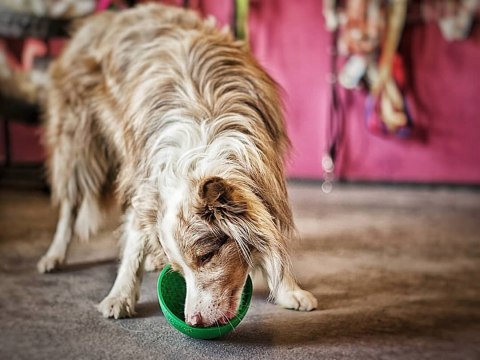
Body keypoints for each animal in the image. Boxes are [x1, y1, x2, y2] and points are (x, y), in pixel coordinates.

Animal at [36, 2, 316, 326]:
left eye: (205, 256)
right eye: (183, 267)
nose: (193, 321)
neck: (204, 134)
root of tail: (98, 20)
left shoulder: (266, 174)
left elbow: (272, 235)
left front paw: (288, 290)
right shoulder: (143, 178)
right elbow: (132, 241)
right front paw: (120, 296)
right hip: (78, 141)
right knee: (70, 203)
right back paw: (54, 255)